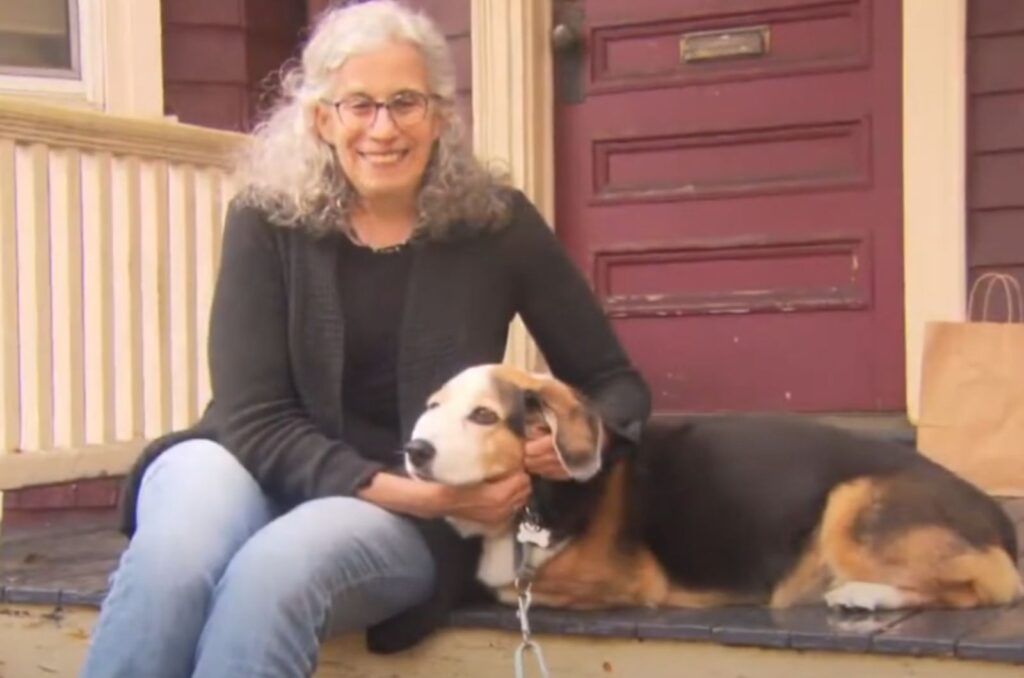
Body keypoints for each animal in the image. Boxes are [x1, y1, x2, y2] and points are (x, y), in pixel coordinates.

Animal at [403, 366, 1019, 614]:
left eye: (484, 416)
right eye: (432, 407)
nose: (414, 450)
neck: (539, 493)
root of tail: (997, 518)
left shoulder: (622, 581)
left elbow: (511, 588)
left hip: (850, 505)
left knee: (989, 586)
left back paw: (865, 593)